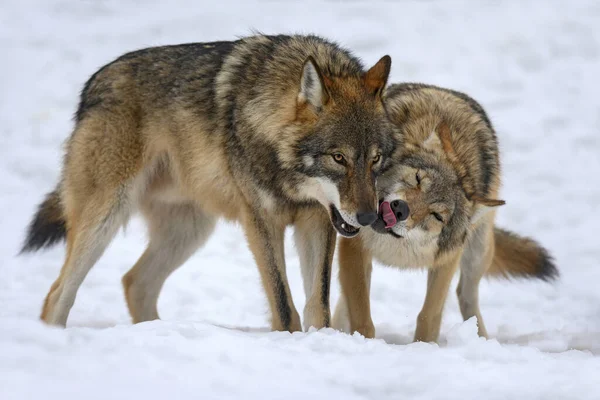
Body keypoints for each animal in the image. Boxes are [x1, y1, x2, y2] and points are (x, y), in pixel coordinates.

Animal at [19, 34, 394, 330]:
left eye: (375, 159)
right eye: (339, 158)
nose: (368, 217)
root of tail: (92, 85)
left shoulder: (316, 219)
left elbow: (319, 305)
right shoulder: (260, 221)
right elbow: (284, 305)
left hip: (189, 232)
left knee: (134, 282)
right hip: (106, 217)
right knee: (58, 294)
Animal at [332, 83, 556, 342]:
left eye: (437, 215)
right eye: (418, 179)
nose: (400, 208)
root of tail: (443, 89)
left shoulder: (446, 260)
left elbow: (429, 315)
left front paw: (423, 346)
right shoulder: (354, 247)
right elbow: (360, 312)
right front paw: (364, 342)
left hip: (477, 251)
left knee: (465, 295)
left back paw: (480, 339)